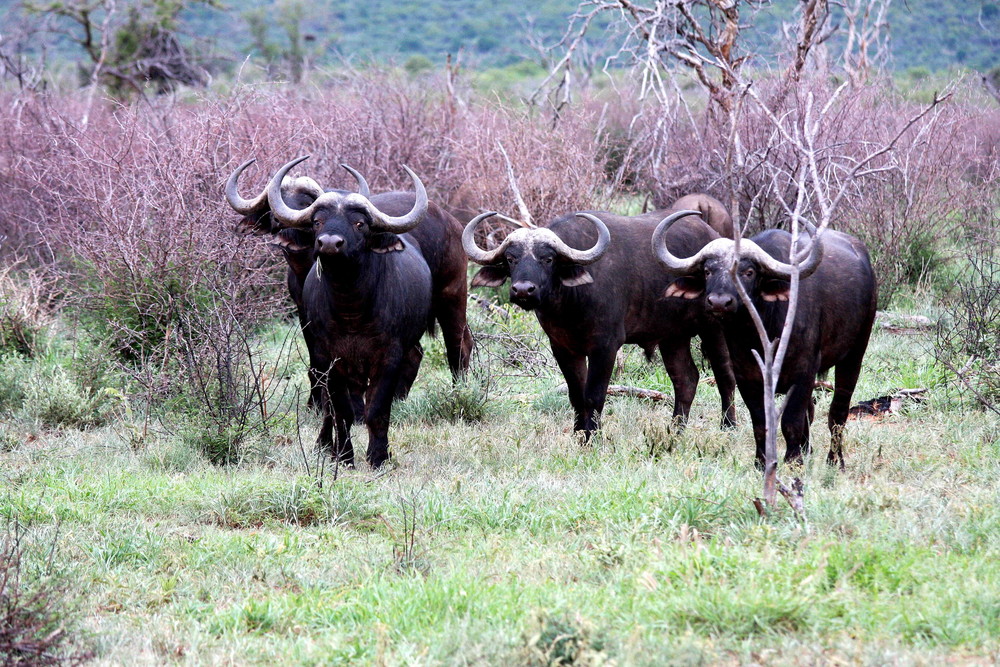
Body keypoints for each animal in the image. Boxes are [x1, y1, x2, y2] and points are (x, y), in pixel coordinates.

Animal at [268, 157, 436, 470]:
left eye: (359, 223)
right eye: (317, 221)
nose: (329, 243)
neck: (351, 310)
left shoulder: (389, 358)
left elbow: (377, 410)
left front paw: (378, 456)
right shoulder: (329, 358)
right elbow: (341, 410)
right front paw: (345, 456)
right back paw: (326, 446)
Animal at [464, 209, 740, 438]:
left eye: (548, 259)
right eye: (511, 259)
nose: (523, 290)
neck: (569, 306)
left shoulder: (605, 347)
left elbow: (594, 395)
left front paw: (592, 437)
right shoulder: (563, 348)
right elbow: (576, 394)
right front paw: (578, 434)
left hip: (714, 329)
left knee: (725, 375)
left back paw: (728, 427)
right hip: (673, 337)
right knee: (686, 379)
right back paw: (675, 431)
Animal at [648, 219, 876, 470]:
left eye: (748, 272)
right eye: (708, 271)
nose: (719, 302)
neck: (761, 328)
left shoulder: (803, 371)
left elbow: (791, 421)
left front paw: (793, 461)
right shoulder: (746, 375)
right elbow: (760, 421)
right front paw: (761, 462)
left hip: (855, 353)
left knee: (837, 413)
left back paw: (834, 461)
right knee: (811, 410)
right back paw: (807, 451)